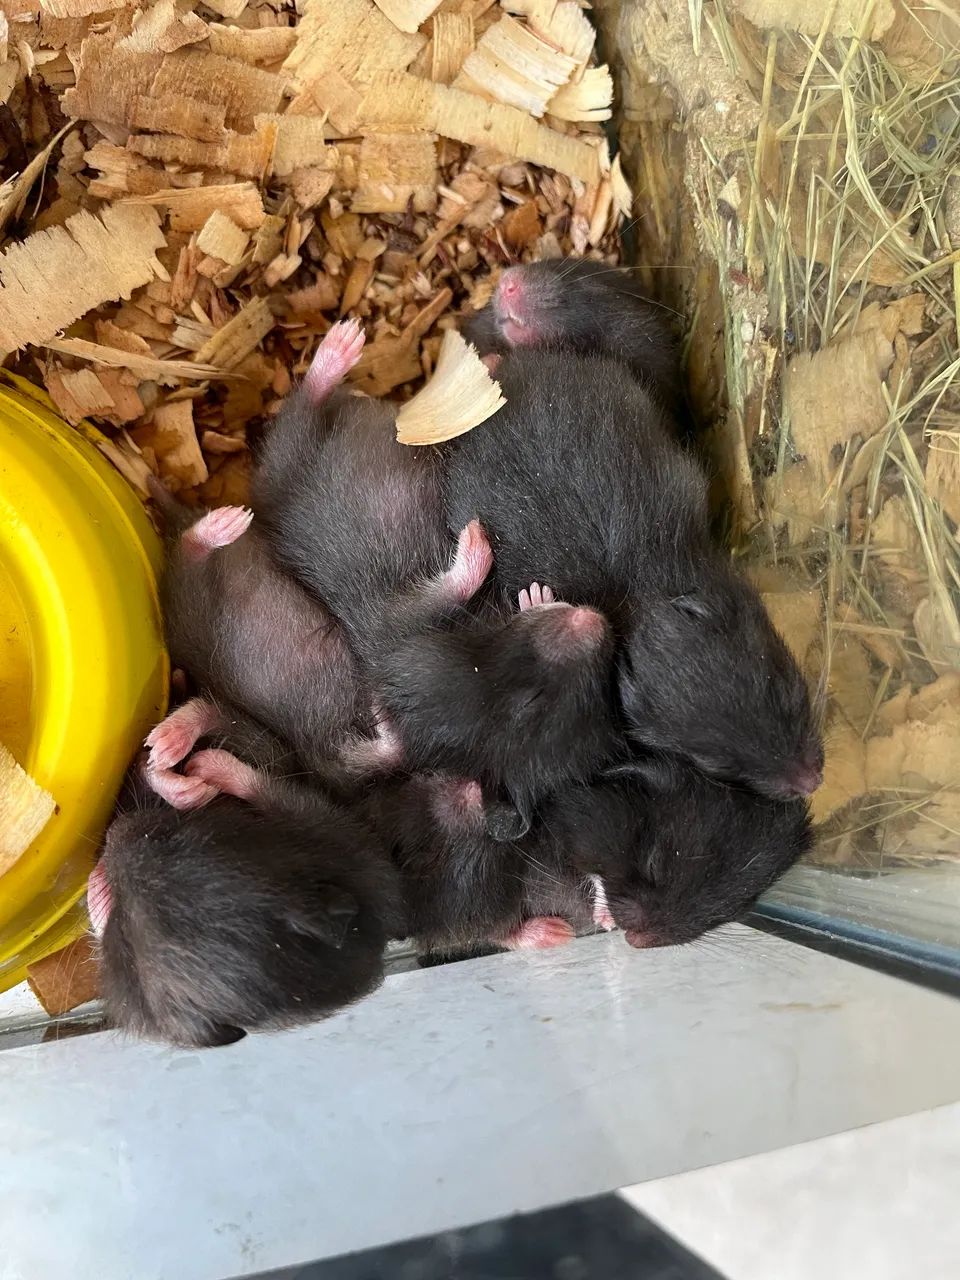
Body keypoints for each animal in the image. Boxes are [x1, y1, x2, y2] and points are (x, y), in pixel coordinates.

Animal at [252, 322, 620, 830]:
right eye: (530, 701)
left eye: (598, 698)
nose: (594, 621)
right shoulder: (403, 623)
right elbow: (445, 591)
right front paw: (477, 541)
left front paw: (532, 592)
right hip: (284, 462)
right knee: (300, 413)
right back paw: (340, 347)